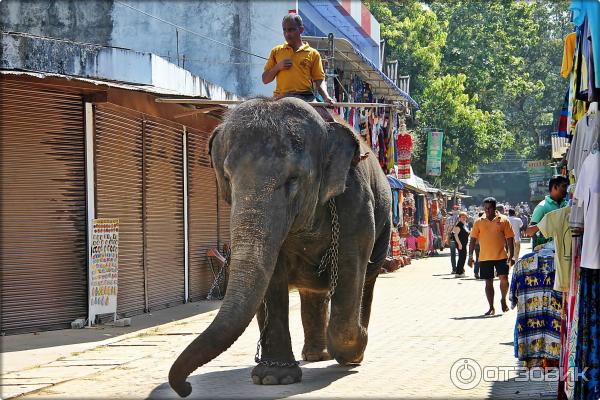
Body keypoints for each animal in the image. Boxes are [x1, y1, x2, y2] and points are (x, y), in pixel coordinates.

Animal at [169, 96, 394, 396]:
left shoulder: (356, 204)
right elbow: (271, 280)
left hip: (384, 228)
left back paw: (351, 352)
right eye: (227, 177)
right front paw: (273, 378)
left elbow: (349, 267)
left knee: (366, 281)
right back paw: (316, 355)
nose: (186, 388)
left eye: (293, 178)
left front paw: (353, 348)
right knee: (313, 292)